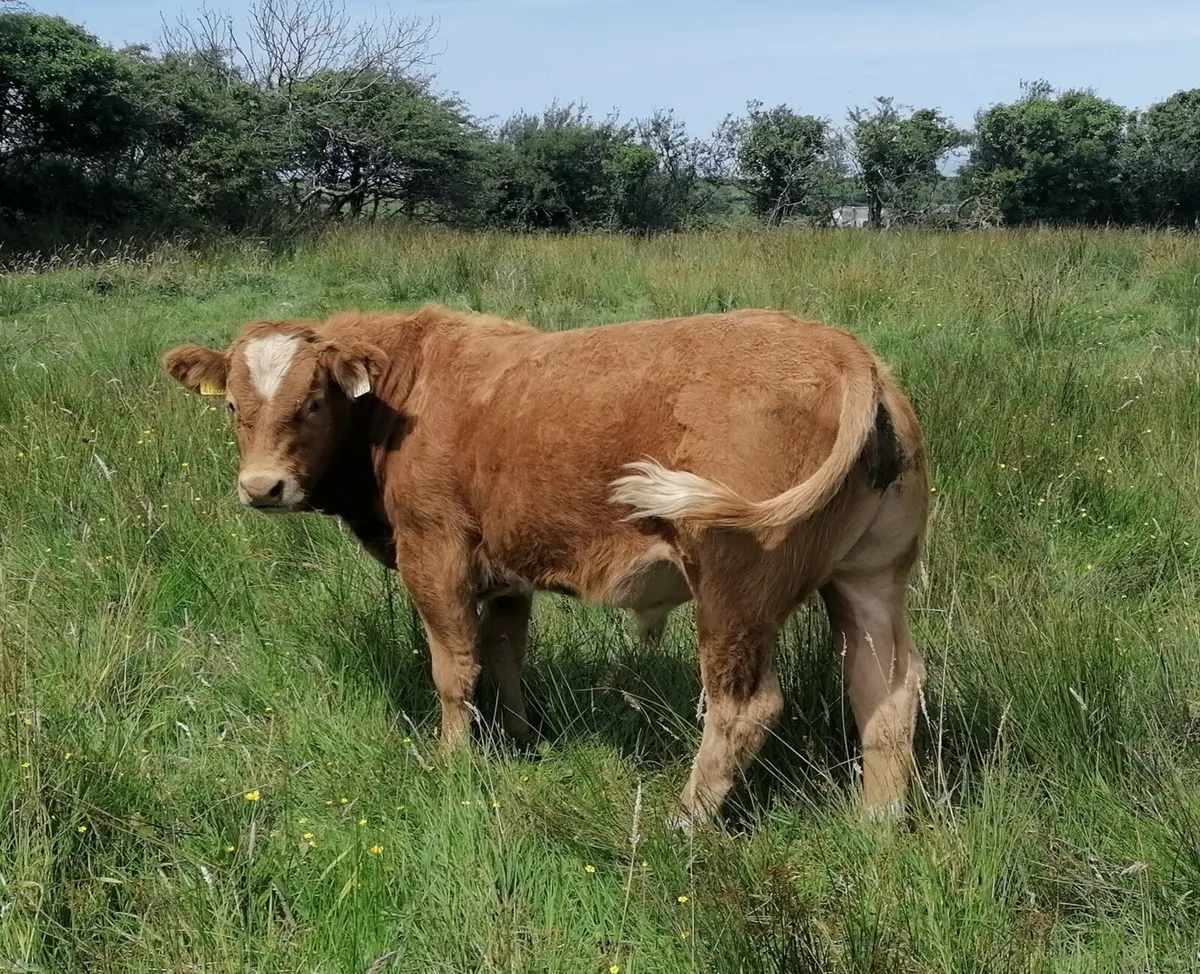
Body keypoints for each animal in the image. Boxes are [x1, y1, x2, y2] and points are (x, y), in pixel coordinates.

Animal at [161, 304, 930, 830]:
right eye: (233, 406)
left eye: (313, 401)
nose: (262, 487)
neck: (405, 393)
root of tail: (841, 349)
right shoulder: (507, 567)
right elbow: (506, 652)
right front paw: (524, 737)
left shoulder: (434, 551)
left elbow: (453, 667)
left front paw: (454, 761)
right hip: (869, 578)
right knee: (886, 691)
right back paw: (876, 823)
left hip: (735, 589)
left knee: (745, 707)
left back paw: (682, 821)